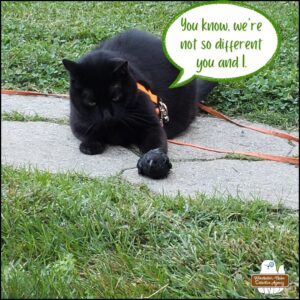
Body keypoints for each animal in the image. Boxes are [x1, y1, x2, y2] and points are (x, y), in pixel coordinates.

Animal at [63, 28, 217, 178]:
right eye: (91, 102)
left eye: (116, 97)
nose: (107, 116)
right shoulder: (78, 120)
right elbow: (88, 131)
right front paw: (91, 145)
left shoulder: (152, 124)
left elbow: (156, 142)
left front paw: (154, 158)